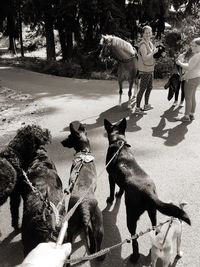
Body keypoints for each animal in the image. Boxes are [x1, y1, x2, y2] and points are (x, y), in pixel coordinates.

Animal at [61, 123, 104, 262]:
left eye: (69, 137)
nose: (61, 142)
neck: (84, 152)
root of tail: (84, 205)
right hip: (99, 227)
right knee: (97, 245)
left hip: (70, 228)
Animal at [103, 119, 191, 264]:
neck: (119, 142)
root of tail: (148, 191)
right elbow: (121, 188)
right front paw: (119, 194)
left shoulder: (110, 177)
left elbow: (111, 189)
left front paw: (110, 199)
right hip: (153, 212)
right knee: (155, 228)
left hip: (131, 217)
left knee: (135, 240)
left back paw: (134, 256)